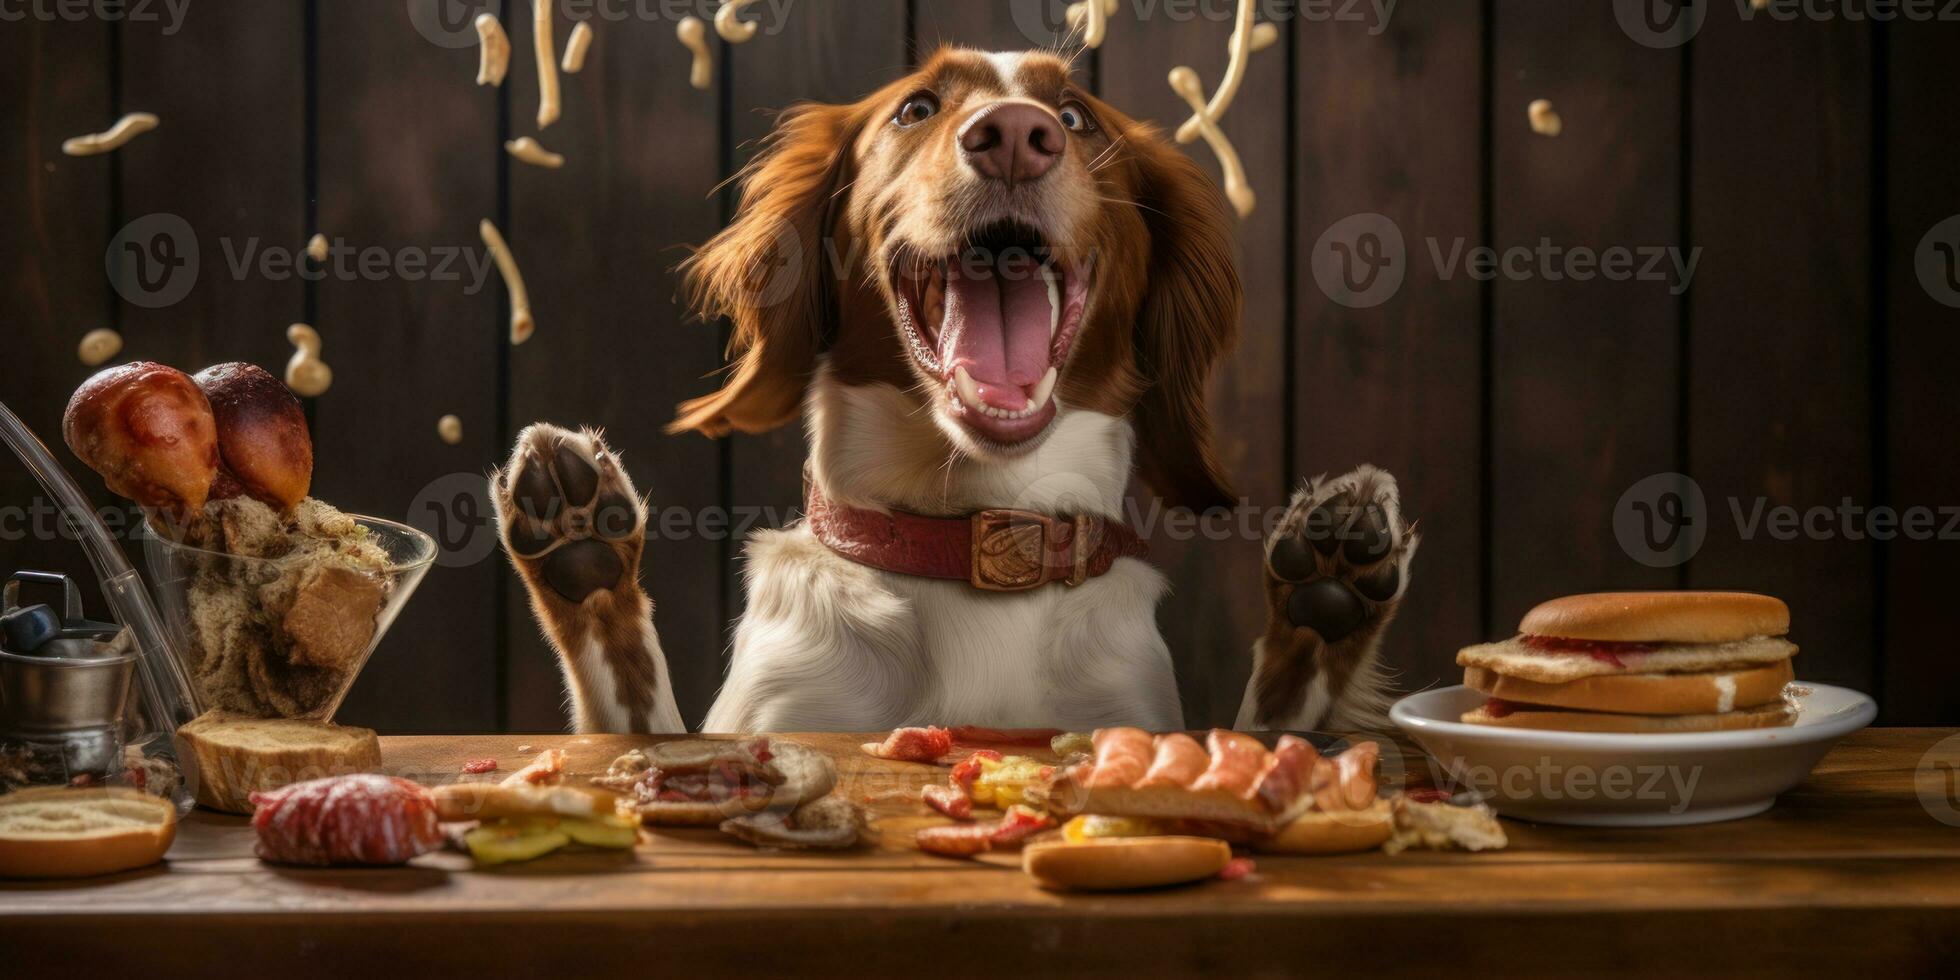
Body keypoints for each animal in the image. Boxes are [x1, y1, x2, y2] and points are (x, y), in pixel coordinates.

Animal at [484, 47, 1419, 736]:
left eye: (1074, 116)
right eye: (917, 108)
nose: (1015, 133)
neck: (976, 522)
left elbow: (1279, 730)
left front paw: (1325, 604)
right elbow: (634, 727)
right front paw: (581, 549)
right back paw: (578, 535)